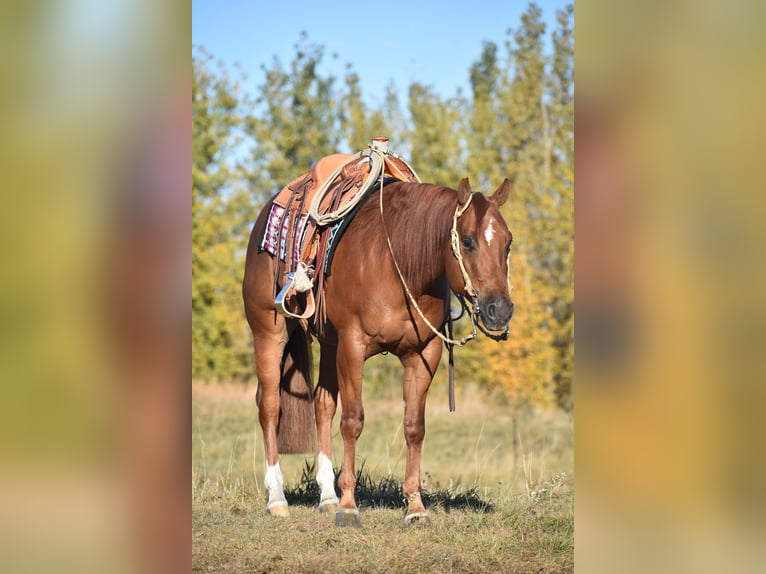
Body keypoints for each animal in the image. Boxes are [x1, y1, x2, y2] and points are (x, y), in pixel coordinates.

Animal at [243, 178, 512, 528]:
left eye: (508, 243)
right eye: (467, 241)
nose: (500, 310)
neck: (398, 262)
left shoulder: (423, 354)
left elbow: (414, 426)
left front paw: (415, 506)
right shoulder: (352, 347)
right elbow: (352, 421)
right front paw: (348, 506)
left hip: (329, 344)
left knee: (322, 405)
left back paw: (326, 496)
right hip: (269, 333)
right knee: (270, 407)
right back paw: (277, 498)